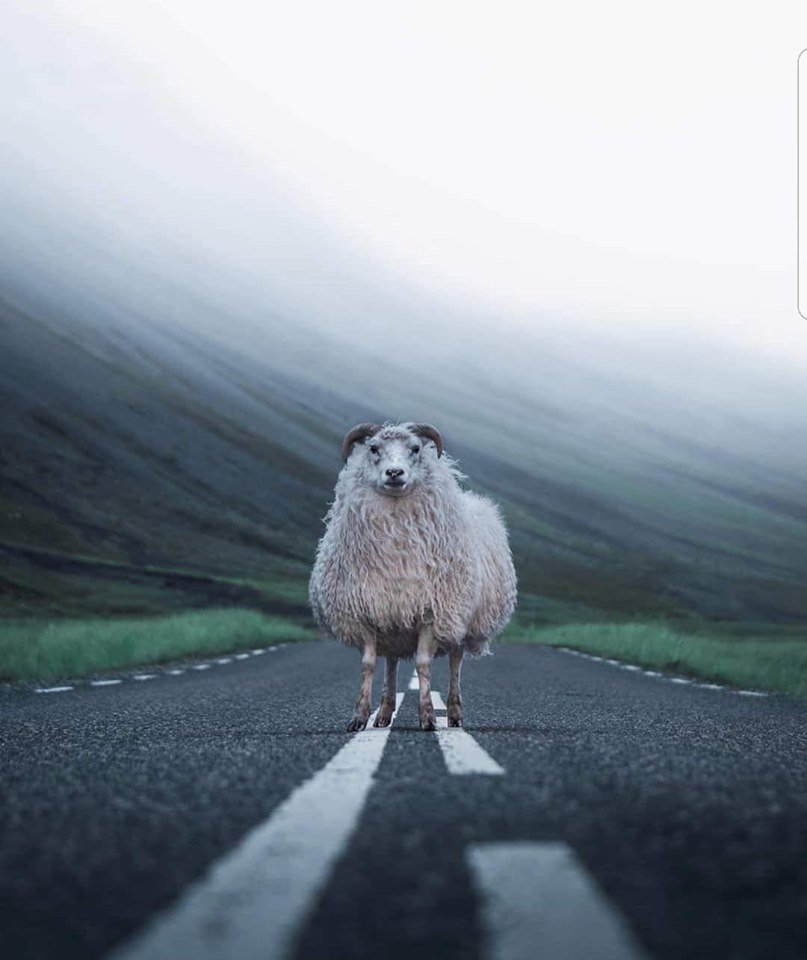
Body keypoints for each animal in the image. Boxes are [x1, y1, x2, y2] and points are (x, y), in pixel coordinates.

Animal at [309, 421, 517, 732]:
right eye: (373, 448)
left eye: (416, 448)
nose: (394, 473)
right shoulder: (366, 611)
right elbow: (369, 664)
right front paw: (359, 716)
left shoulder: (433, 612)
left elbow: (422, 664)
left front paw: (428, 716)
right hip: (392, 621)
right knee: (392, 662)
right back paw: (384, 712)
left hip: (460, 620)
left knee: (455, 663)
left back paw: (454, 712)